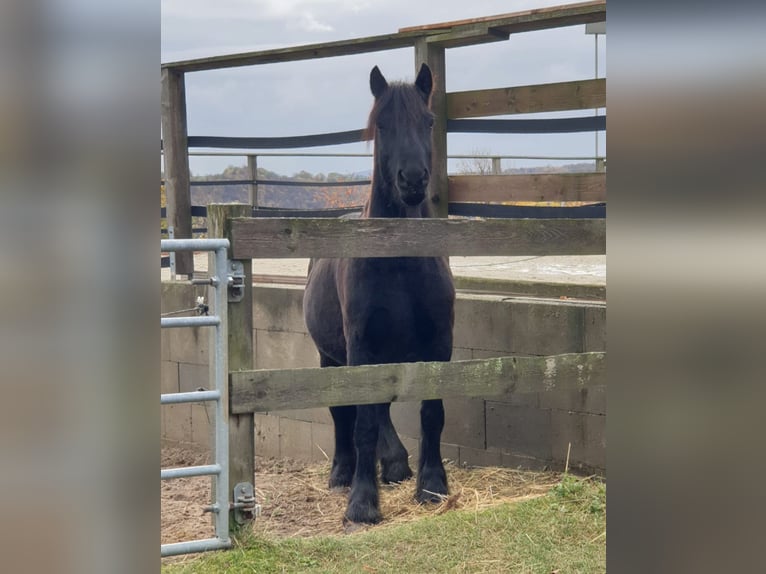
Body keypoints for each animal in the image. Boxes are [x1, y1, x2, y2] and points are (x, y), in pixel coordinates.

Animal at [304, 64, 456, 528]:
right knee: (344, 413)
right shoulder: (360, 349)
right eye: (383, 125)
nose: (413, 180)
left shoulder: (438, 345)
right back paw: (342, 473)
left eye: (428, 121)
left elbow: (431, 413)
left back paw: (394, 465)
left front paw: (432, 485)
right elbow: (363, 423)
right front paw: (362, 502)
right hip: (332, 358)